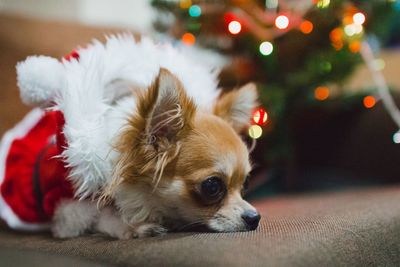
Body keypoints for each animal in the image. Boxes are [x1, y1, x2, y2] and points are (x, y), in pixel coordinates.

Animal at [0, 35, 262, 239]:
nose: (255, 217)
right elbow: (99, 219)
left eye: (246, 184)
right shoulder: (68, 211)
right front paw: (134, 227)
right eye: (212, 186)